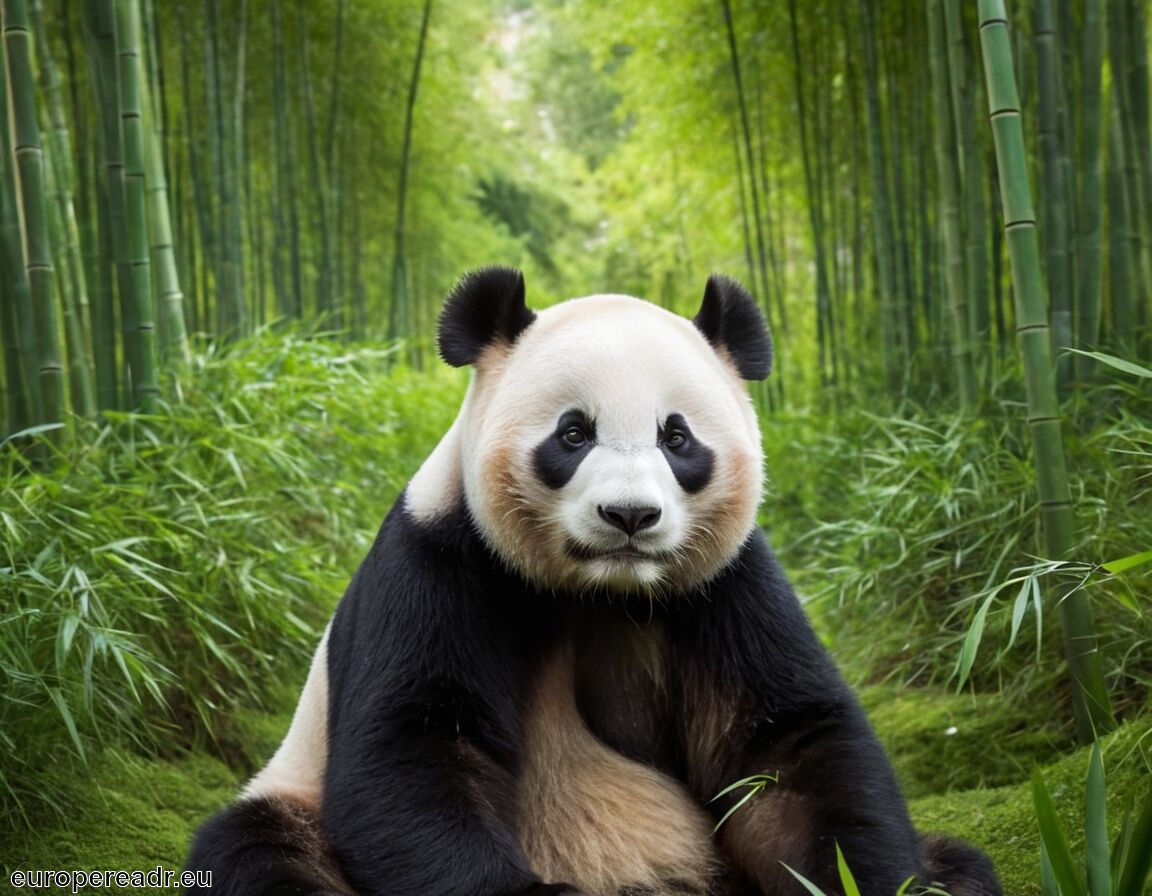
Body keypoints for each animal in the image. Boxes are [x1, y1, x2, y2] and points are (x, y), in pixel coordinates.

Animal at [186, 267, 1001, 896]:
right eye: (573, 434)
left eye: (678, 437)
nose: (630, 515)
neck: (598, 590)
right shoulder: (436, 563)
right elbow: (416, 749)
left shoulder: (727, 584)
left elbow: (783, 752)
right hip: (294, 792)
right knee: (262, 852)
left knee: (962, 862)